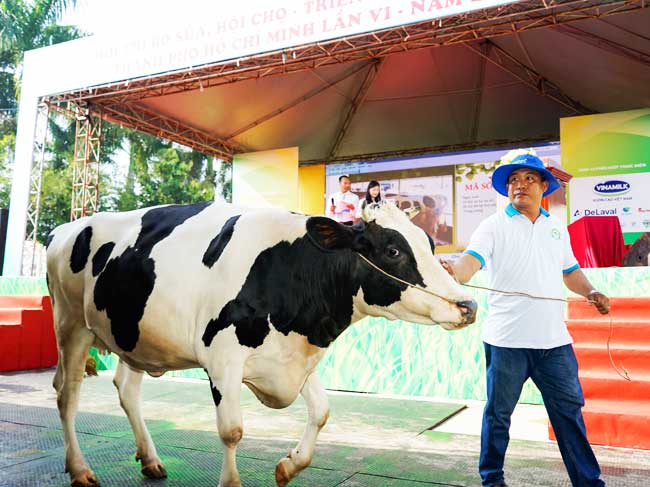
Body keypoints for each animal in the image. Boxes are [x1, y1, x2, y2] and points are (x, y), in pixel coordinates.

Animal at [48, 201, 476, 487]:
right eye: (393, 250)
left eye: (431, 245)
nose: (468, 305)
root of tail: (66, 227)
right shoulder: (222, 358)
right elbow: (232, 431)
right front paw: (232, 481)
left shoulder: (297, 356)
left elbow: (322, 412)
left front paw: (288, 466)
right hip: (72, 326)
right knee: (67, 397)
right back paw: (81, 469)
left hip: (132, 335)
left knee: (126, 390)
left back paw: (151, 460)